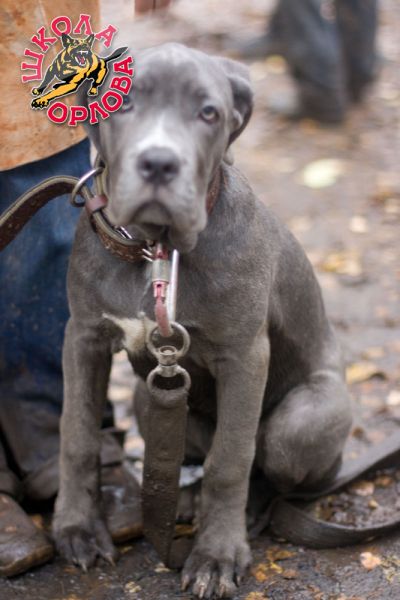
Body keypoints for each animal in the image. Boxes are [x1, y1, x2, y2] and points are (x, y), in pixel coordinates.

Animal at [53, 43, 352, 598]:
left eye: (209, 113)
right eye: (122, 101)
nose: (159, 162)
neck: (155, 249)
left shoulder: (245, 356)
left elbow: (230, 460)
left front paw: (217, 556)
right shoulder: (82, 336)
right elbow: (77, 434)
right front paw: (77, 528)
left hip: (303, 422)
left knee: (270, 465)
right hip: (147, 401)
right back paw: (185, 501)